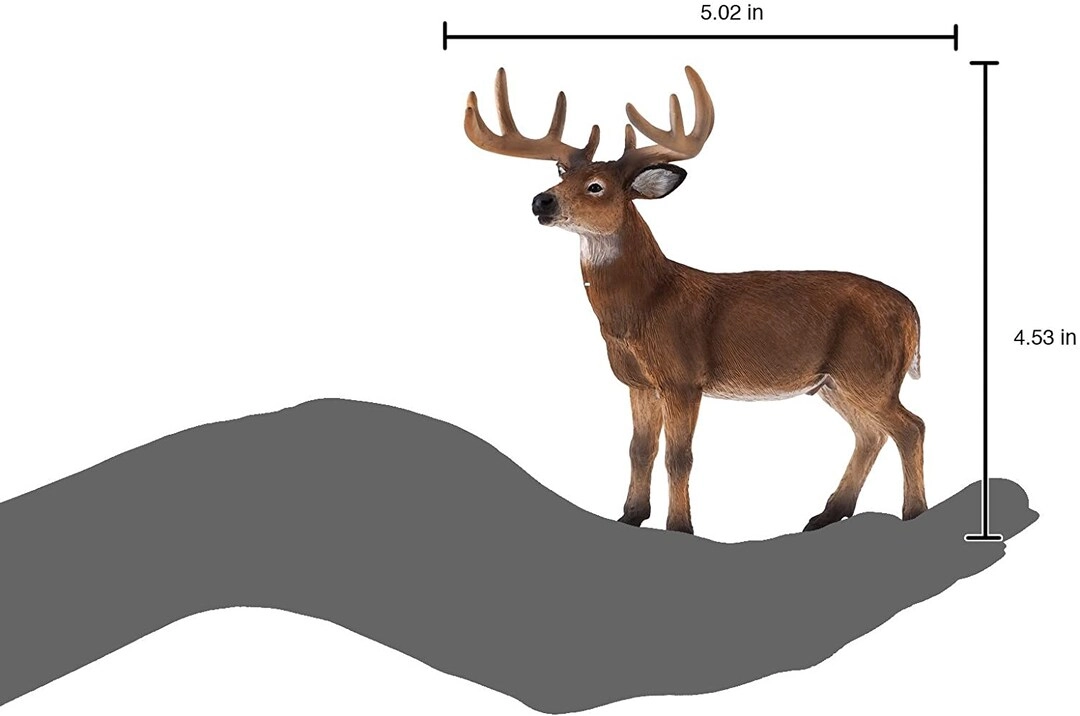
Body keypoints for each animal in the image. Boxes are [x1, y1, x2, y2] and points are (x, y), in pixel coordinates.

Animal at [463, 66, 926, 535]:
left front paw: (680, 526)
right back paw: (826, 514)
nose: (542, 200)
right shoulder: (638, 382)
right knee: (870, 434)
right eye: (560, 173)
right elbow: (639, 448)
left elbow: (678, 456)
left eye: (596, 186)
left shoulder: (683, 378)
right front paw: (631, 515)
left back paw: (913, 513)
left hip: (868, 371)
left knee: (910, 427)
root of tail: (913, 314)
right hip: (835, 381)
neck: (643, 308)